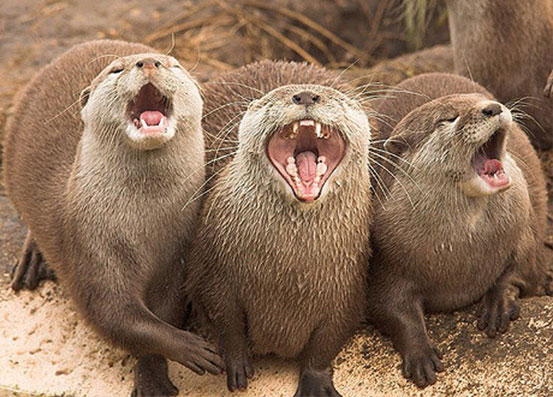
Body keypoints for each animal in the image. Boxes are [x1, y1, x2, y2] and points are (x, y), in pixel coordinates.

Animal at [2, 41, 222, 396]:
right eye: (116, 70)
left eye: (173, 65)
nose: (149, 61)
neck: (145, 223)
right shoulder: (90, 247)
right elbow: (119, 319)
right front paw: (188, 350)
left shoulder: (178, 254)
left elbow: (166, 311)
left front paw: (153, 375)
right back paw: (32, 261)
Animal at [184, 59, 370, 396]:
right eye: (275, 97)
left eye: (339, 99)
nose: (306, 95)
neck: (287, 275)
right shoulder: (212, 268)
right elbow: (223, 316)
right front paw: (237, 364)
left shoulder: (349, 289)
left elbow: (329, 339)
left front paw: (316, 381)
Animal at [364, 72, 548, 386]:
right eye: (448, 119)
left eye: (483, 100)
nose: (492, 108)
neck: (463, 252)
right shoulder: (386, 261)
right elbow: (389, 307)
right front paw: (420, 352)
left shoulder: (524, 232)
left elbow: (522, 272)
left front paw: (498, 302)